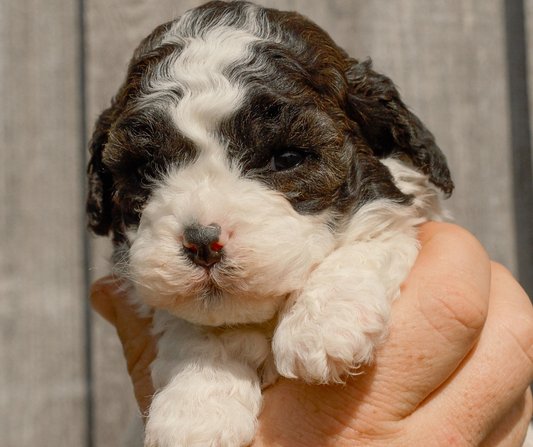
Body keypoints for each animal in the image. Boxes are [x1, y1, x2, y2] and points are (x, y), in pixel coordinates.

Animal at [87, 1, 454, 446]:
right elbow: (194, 326)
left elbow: (377, 236)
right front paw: (195, 408)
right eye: (144, 170)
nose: (202, 242)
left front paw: (325, 321)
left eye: (287, 158)